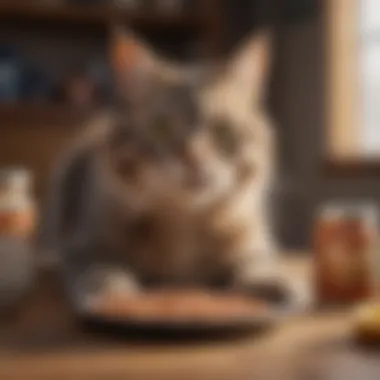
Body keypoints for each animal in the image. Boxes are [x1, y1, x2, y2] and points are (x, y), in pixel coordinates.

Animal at [40, 29, 310, 308]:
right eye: (163, 127)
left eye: (223, 130)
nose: (194, 157)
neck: (184, 224)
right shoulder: (83, 243)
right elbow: (99, 265)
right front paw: (108, 289)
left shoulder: (253, 244)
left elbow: (256, 264)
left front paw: (276, 281)